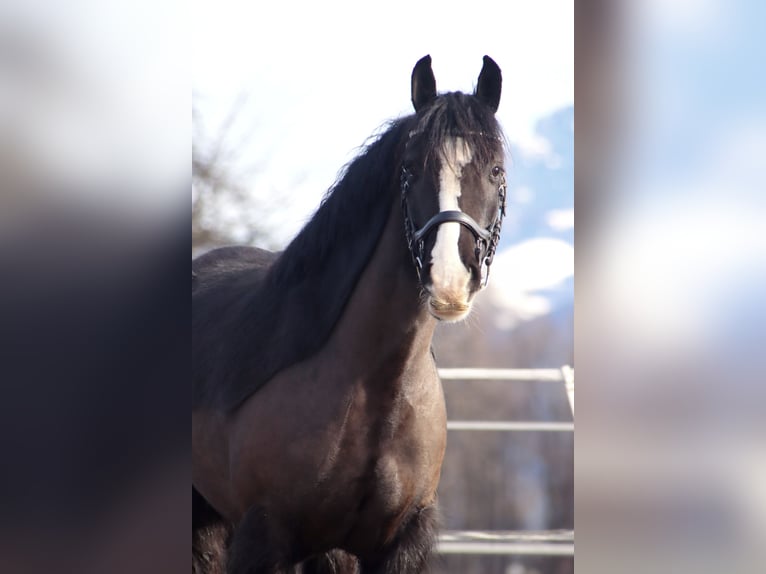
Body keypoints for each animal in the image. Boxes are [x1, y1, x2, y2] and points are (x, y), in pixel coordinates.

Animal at [192, 55, 508, 574]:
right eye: (409, 168)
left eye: (497, 171)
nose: (449, 280)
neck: (378, 389)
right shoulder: (264, 536)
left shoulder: (397, 545)